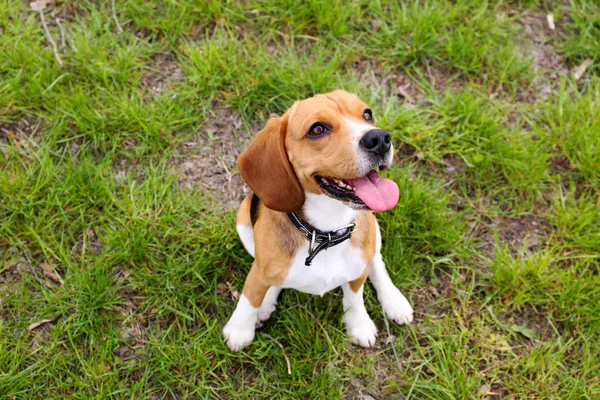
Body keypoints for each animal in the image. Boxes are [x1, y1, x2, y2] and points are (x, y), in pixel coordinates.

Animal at [223, 90, 414, 350]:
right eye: (317, 129)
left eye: (367, 114)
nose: (380, 138)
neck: (325, 231)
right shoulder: (259, 271)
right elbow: (250, 297)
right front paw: (239, 329)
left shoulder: (357, 272)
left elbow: (354, 296)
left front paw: (359, 324)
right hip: (243, 222)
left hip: (373, 230)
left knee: (376, 261)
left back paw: (394, 300)